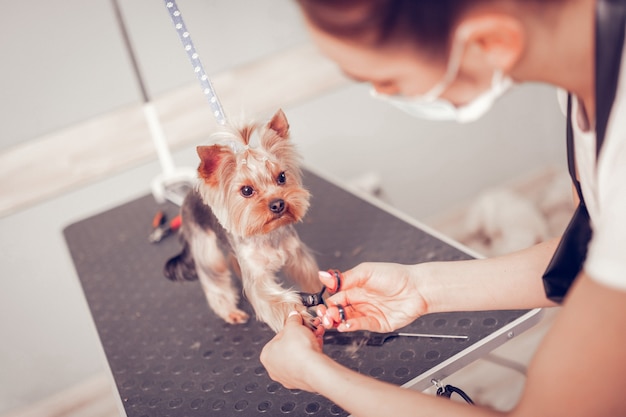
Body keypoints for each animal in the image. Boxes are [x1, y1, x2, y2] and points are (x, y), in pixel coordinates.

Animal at [165, 109, 322, 330]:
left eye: (282, 177)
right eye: (246, 190)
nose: (277, 204)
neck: (266, 234)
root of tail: (188, 195)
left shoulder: (297, 256)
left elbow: (311, 278)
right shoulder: (256, 277)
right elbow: (271, 299)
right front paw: (297, 314)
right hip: (205, 248)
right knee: (215, 280)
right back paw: (230, 312)